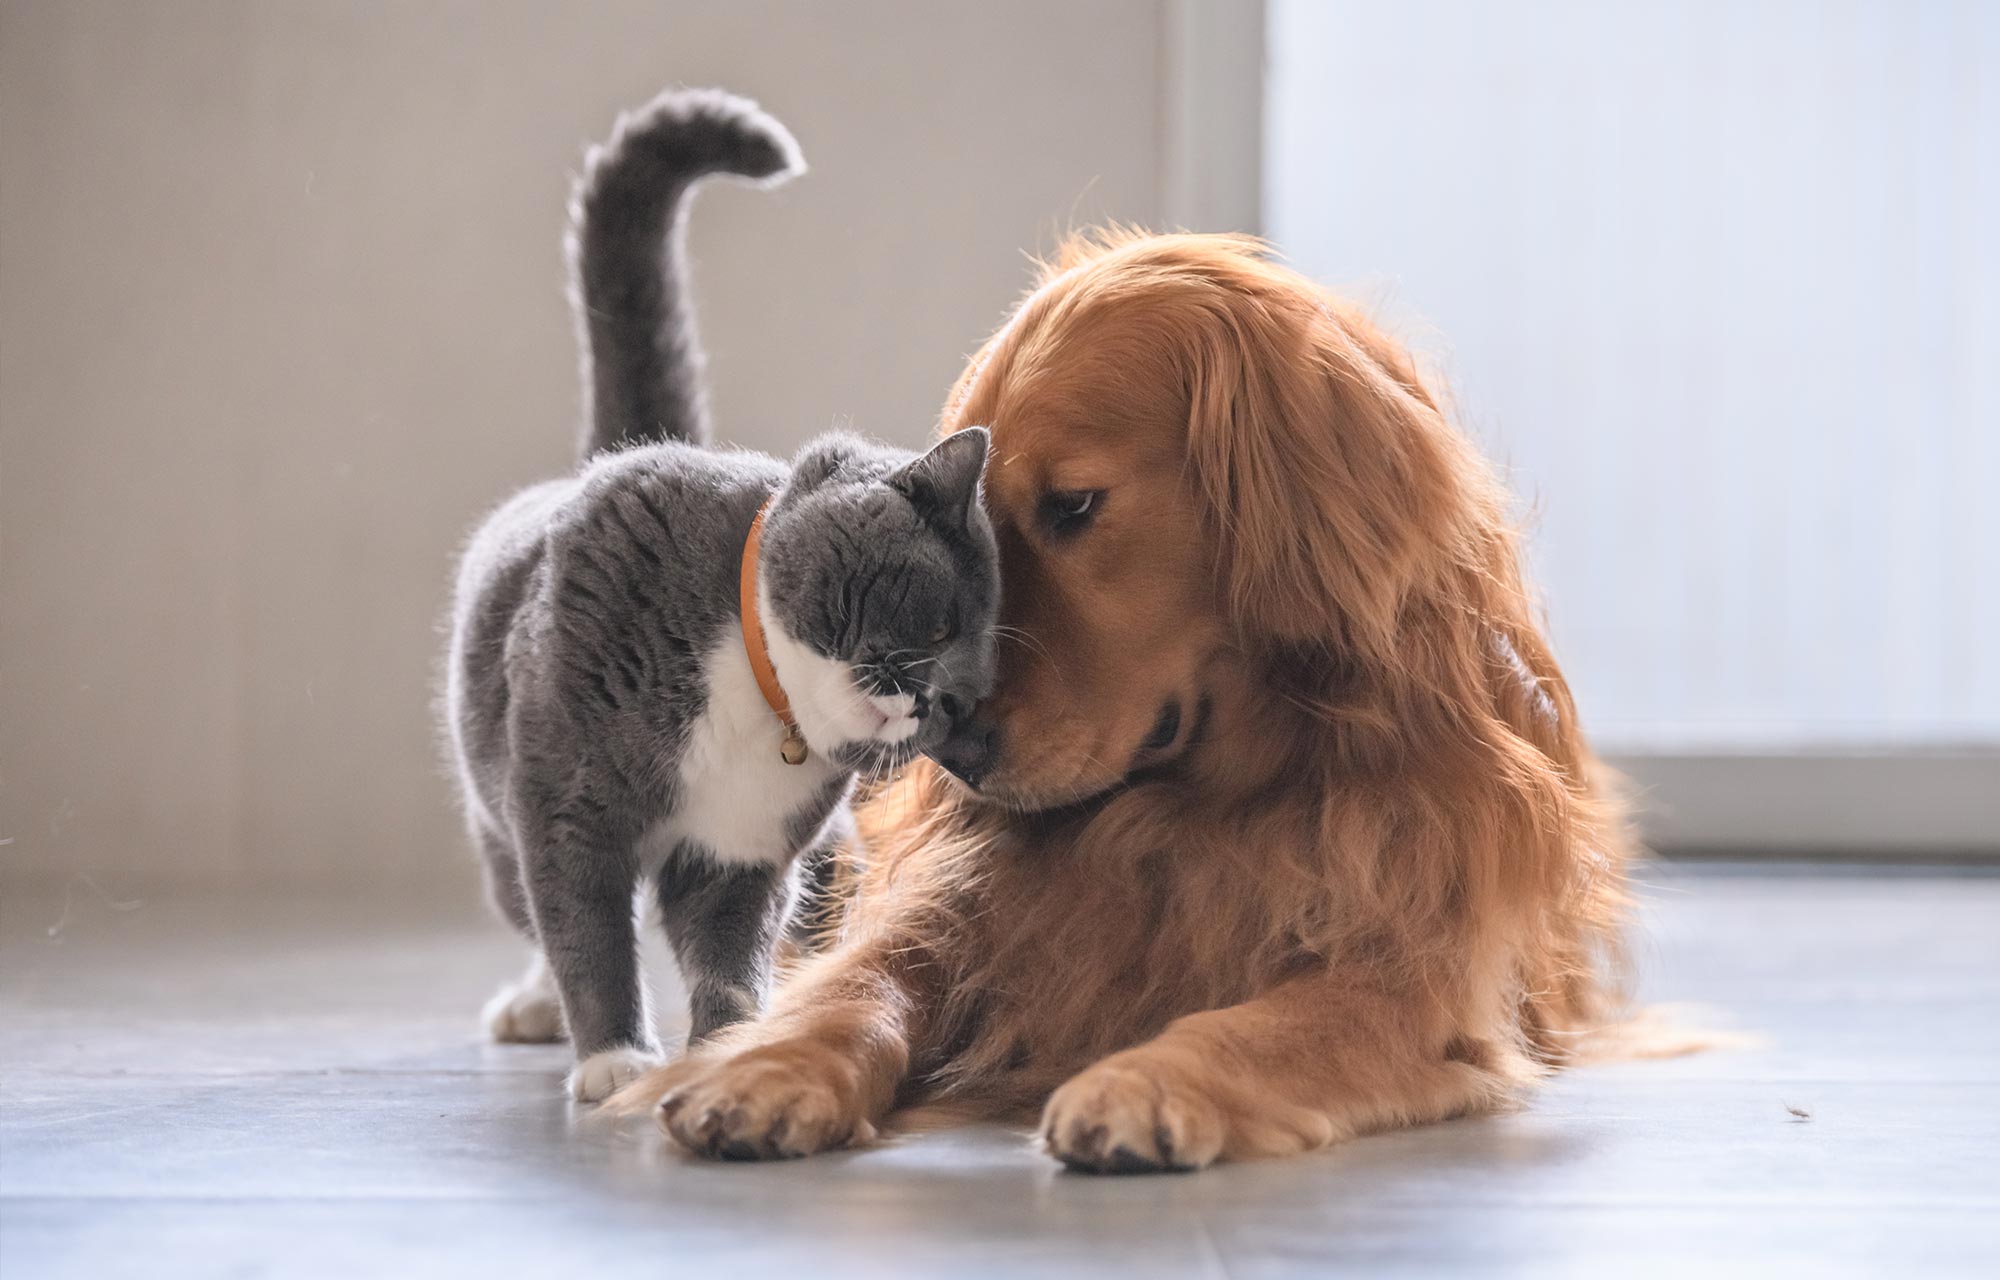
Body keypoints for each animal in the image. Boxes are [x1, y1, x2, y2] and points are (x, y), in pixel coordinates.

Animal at [442, 87, 996, 1104]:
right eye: (940, 622)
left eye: (971, 696)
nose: (933, 701)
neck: (753, 693)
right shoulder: (566, 803)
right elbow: (586, 927)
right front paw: (615, 1058)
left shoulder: (744, 851)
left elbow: (728, 951)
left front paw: (729, 1048)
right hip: (496, 802)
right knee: (531, 906)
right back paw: (536, 1007)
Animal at [616, 228, 1632, 1168]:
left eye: (1073, 505)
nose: (952, 752)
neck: (1199, 804)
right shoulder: (958, 908)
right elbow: (857, 985)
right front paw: (763, 1067)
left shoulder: (1413, 974)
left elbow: (1263, 1023)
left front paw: (1144, 1083)